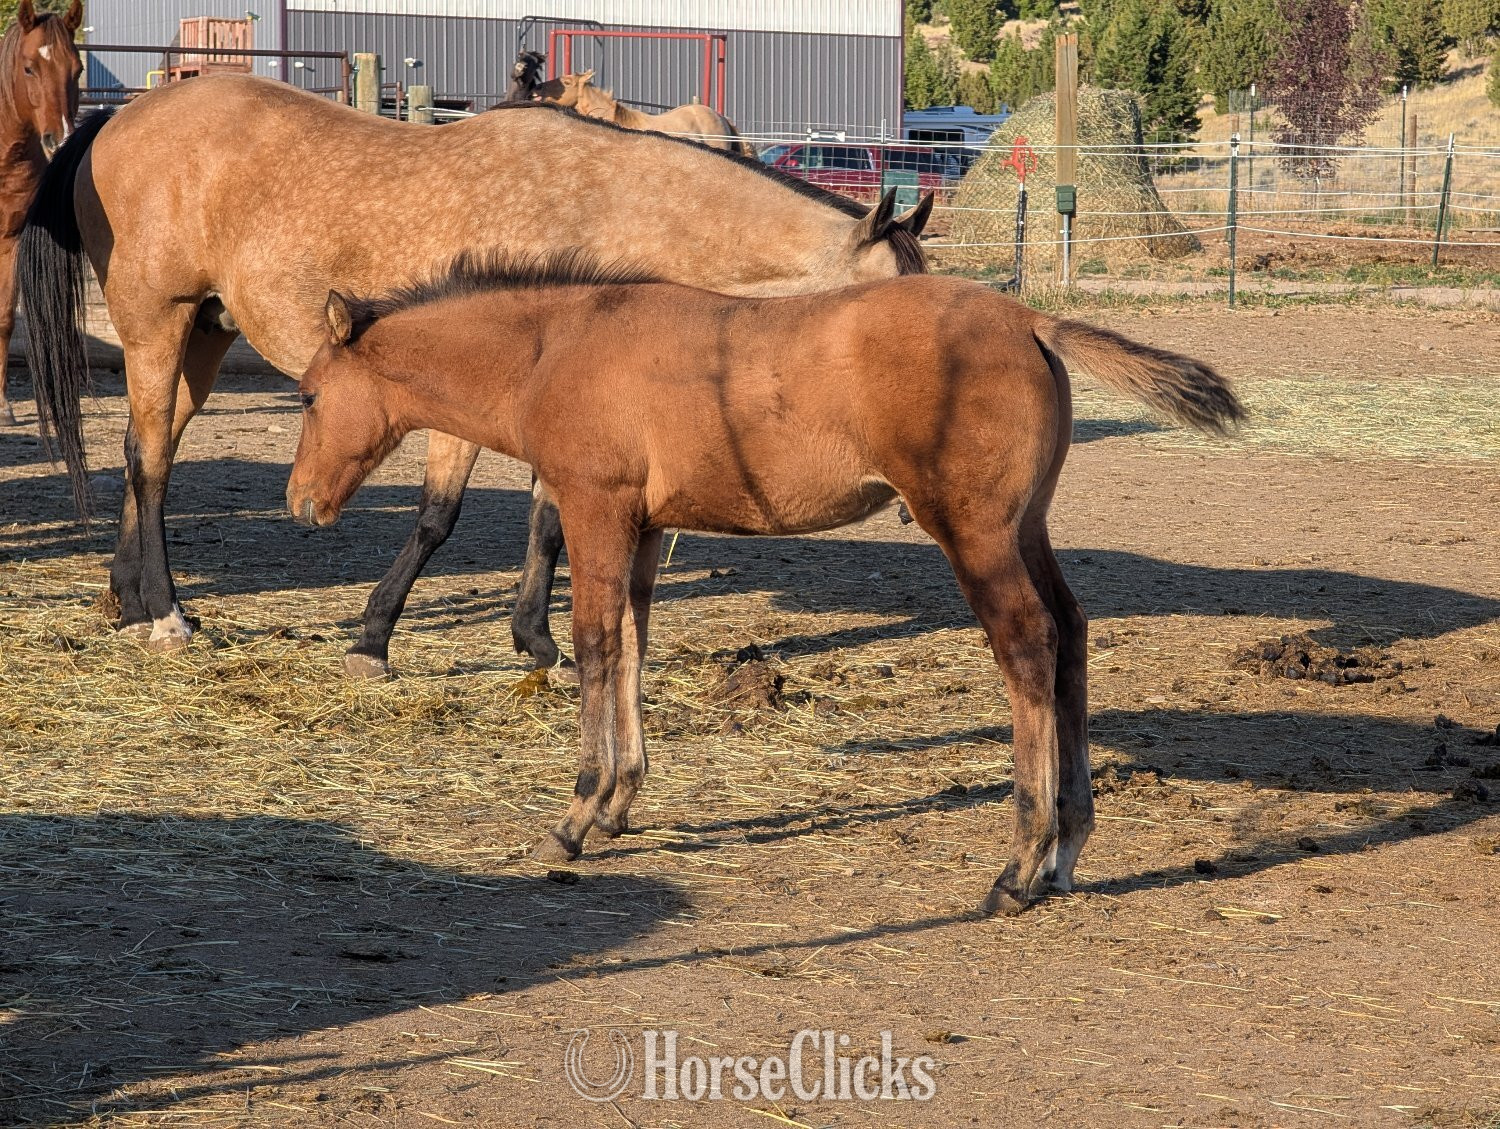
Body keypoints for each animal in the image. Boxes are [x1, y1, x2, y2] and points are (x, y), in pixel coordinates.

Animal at [284, 251, 1243, 915]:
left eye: (306, 396)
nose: (300, 502)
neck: (556, 345)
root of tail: (1033, 320)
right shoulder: (645, 526)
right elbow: (633, 645)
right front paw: (622, 801)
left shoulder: (595, 508)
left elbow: (593, 647)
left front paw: (577, 815)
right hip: (1024, 527)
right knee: (1073, 634)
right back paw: (1070, 851)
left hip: (976, 535)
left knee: (1031, 647)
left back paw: (1022, 865)